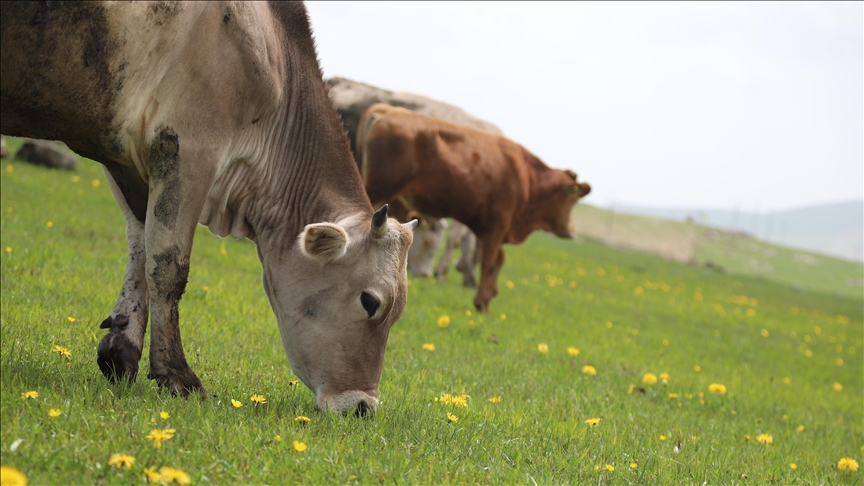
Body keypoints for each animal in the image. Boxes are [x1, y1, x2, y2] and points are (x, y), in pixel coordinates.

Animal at [0, 1, 418, 416]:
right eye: (370, 301)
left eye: (400, 312)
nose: (363, 406)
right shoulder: (188, 145)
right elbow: (168, 266)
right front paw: (178, 375)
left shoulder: (126, 158)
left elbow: (140, 247)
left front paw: (122, 350)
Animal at [354, 104, 592, 314]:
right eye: (572, 198)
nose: (571, 230)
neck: (526, 175)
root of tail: (387, 109)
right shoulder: (498, 225)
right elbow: (488, 261)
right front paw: (480, 301)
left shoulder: (486, 227)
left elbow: (498, 259)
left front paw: (488, 295)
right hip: (379, 189)